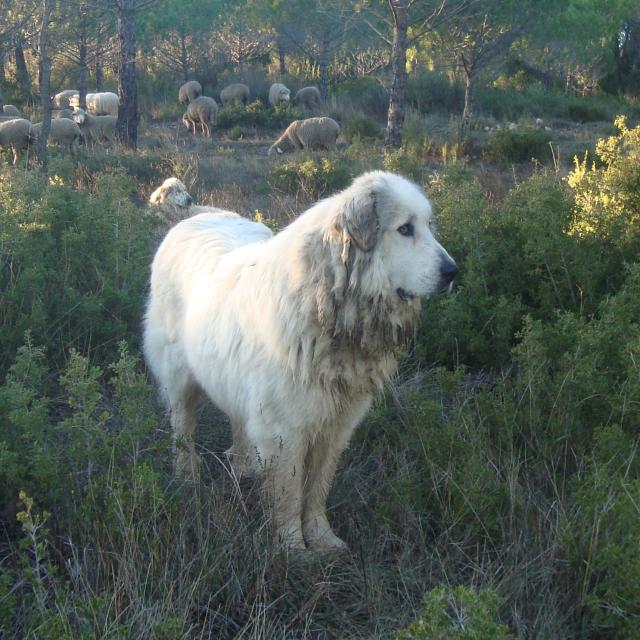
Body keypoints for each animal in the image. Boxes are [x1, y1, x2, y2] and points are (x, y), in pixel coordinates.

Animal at [143, 170, 458, 552]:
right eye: (405, 229)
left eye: (428, 225)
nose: (453, 271)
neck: (327, 307)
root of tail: (192, 217)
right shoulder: (286, 430)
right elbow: (290, 493)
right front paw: (293, 548)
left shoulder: (337, 424)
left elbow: (317, 488)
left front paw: (322, 539)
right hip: (179, 378)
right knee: (183, 426)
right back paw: (187, 475)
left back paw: (244, 467)